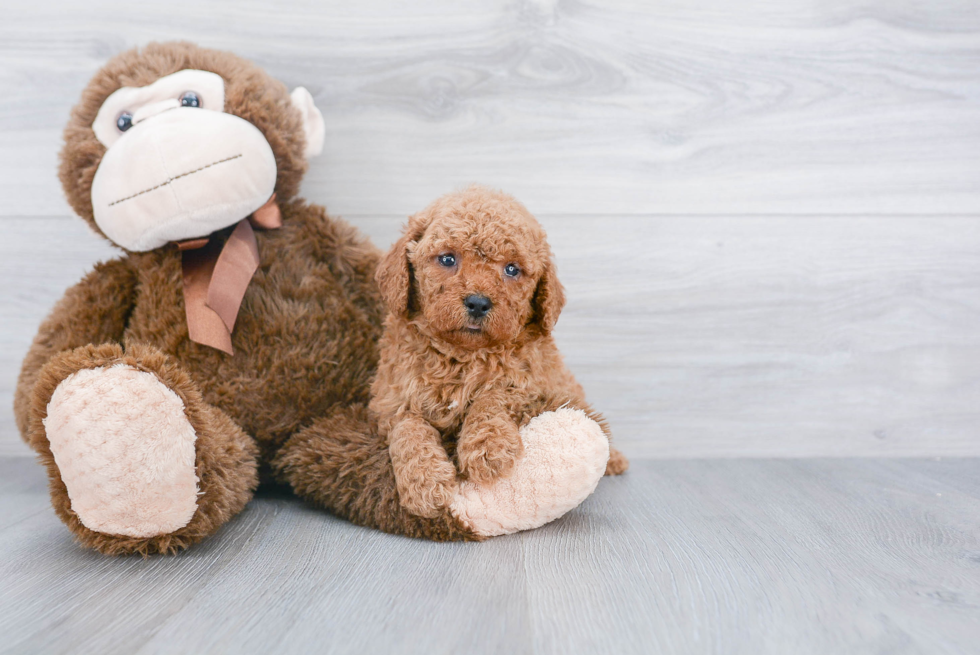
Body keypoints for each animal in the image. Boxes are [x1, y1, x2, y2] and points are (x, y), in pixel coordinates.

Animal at [376, 184, 628, 516]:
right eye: (447, 259)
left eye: (511, 269)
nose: (478, 302)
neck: (464, 356)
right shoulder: (391, 399)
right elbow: (408, 427)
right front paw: (424, 481)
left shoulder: (535, 385)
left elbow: (495, 395)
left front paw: (488, 448)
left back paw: (615, 460)